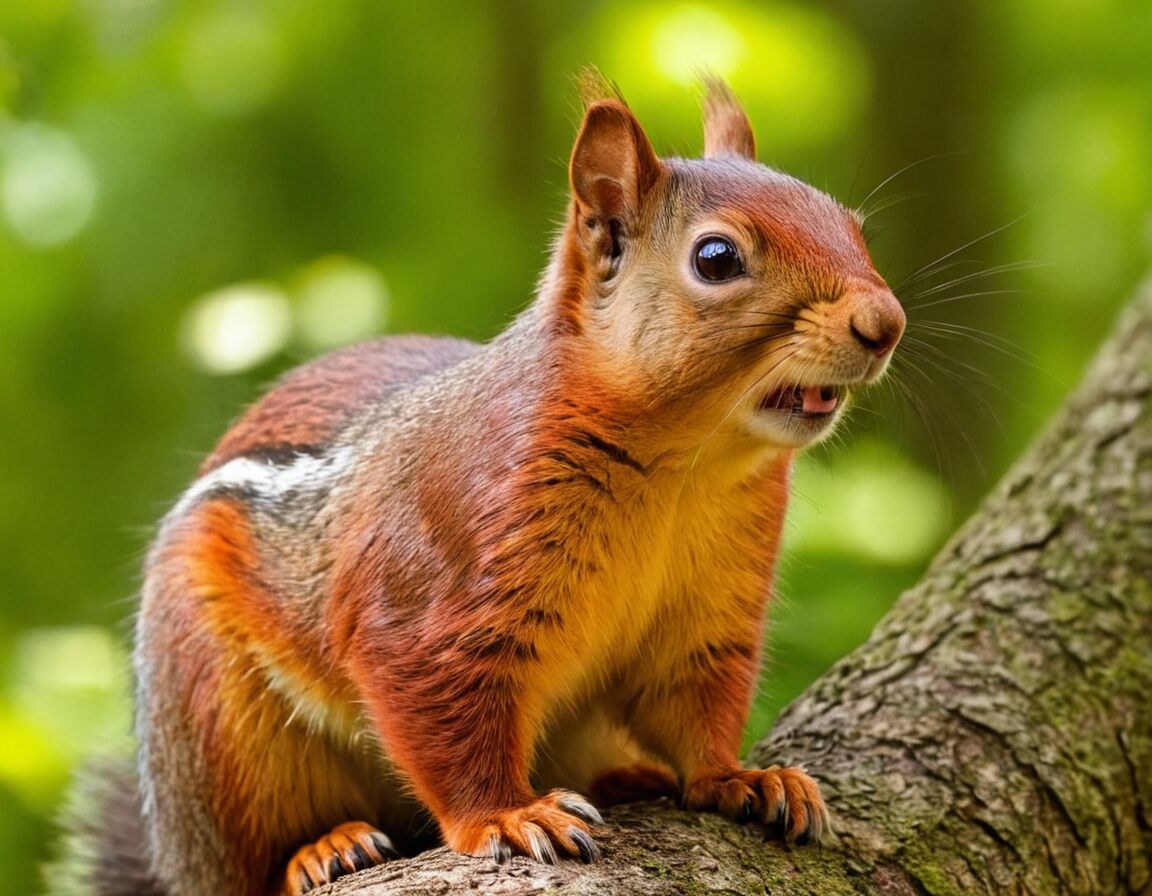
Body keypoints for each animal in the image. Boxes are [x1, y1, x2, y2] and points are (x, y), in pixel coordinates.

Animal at [58, 75, 904, 896]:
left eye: (852, 223)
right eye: (718, 258)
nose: (885, 322)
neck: (686, 468)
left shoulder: (710, 612)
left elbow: (698, 706)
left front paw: (740, 778)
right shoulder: (438, 586)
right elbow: (448, 717)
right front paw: (504, 816)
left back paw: (628, 777)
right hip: (223, 726)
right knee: (247, 863)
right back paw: (322, 849)